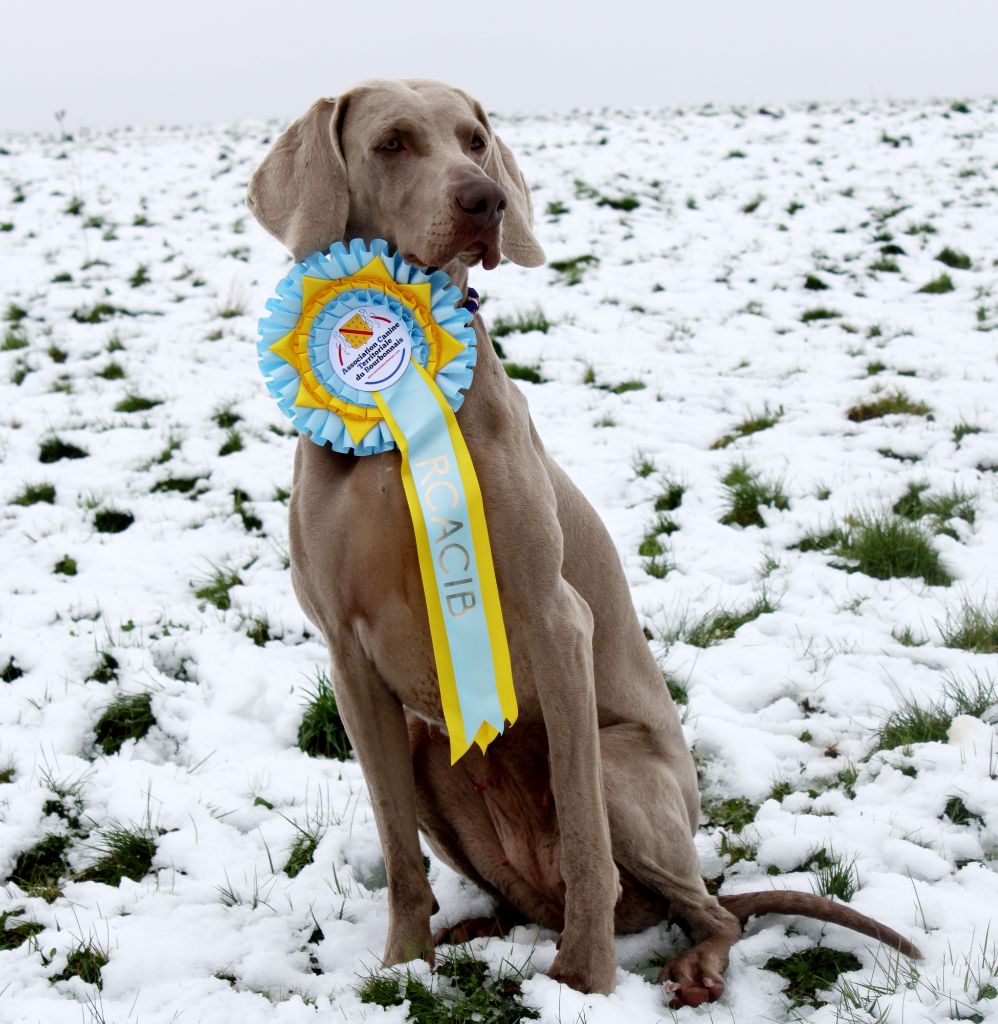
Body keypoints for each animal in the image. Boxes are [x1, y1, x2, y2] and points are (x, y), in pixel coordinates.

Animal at [247, 79, 921, 1007]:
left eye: (475, 139)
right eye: (392, 143)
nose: (485, 201)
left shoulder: (552, 619)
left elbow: (585, 837)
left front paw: (585, 983)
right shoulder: (348, 661)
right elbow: (394, 849)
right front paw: (400, 968)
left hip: (626, 771)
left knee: (708, 907)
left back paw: (687, 965)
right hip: (428, 749)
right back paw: (476, 930)